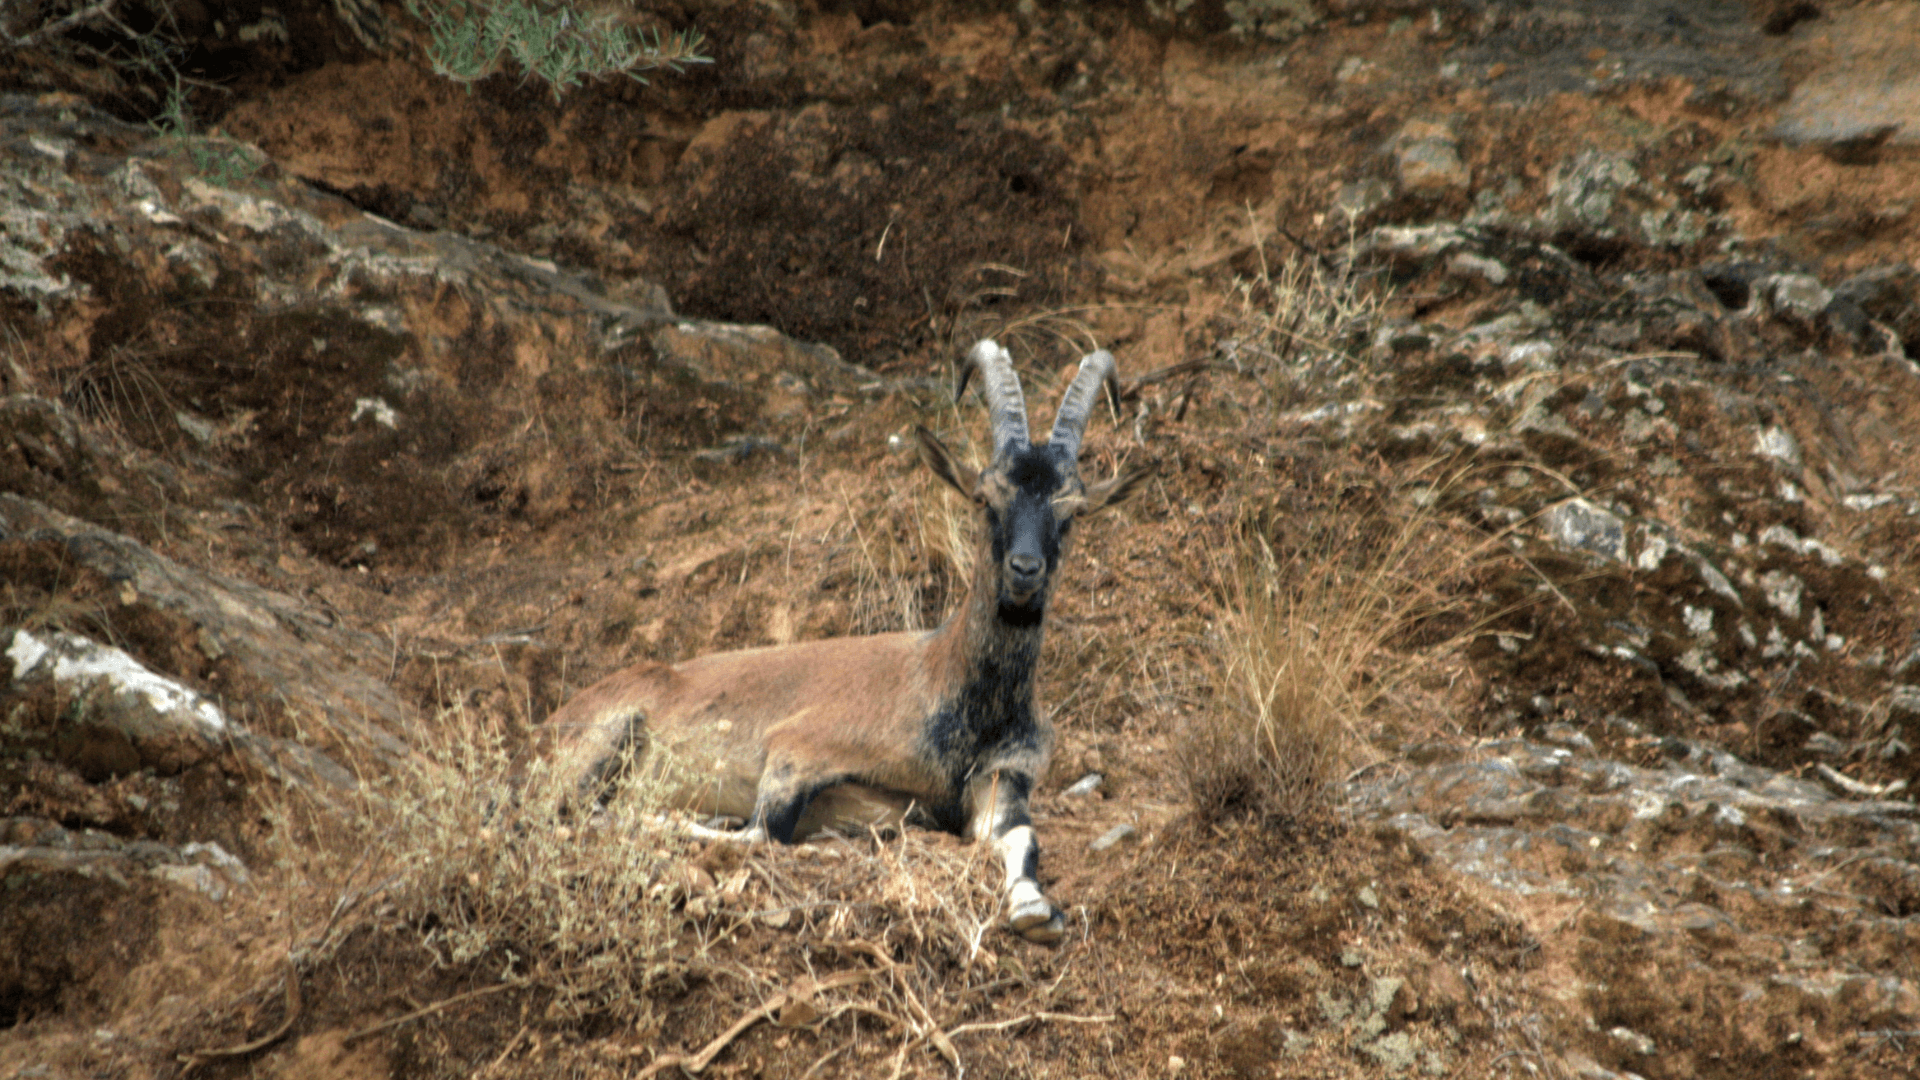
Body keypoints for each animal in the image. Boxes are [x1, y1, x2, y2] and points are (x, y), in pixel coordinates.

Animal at [533, 340, 1144, 937]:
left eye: (1072, 510)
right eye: (984, 499)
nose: (1024, 571)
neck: (950, 689)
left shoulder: (1002, 779)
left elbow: (1020, 837)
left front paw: (1034, 909)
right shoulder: (799, 747)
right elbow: (766, 831)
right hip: (602, 738)